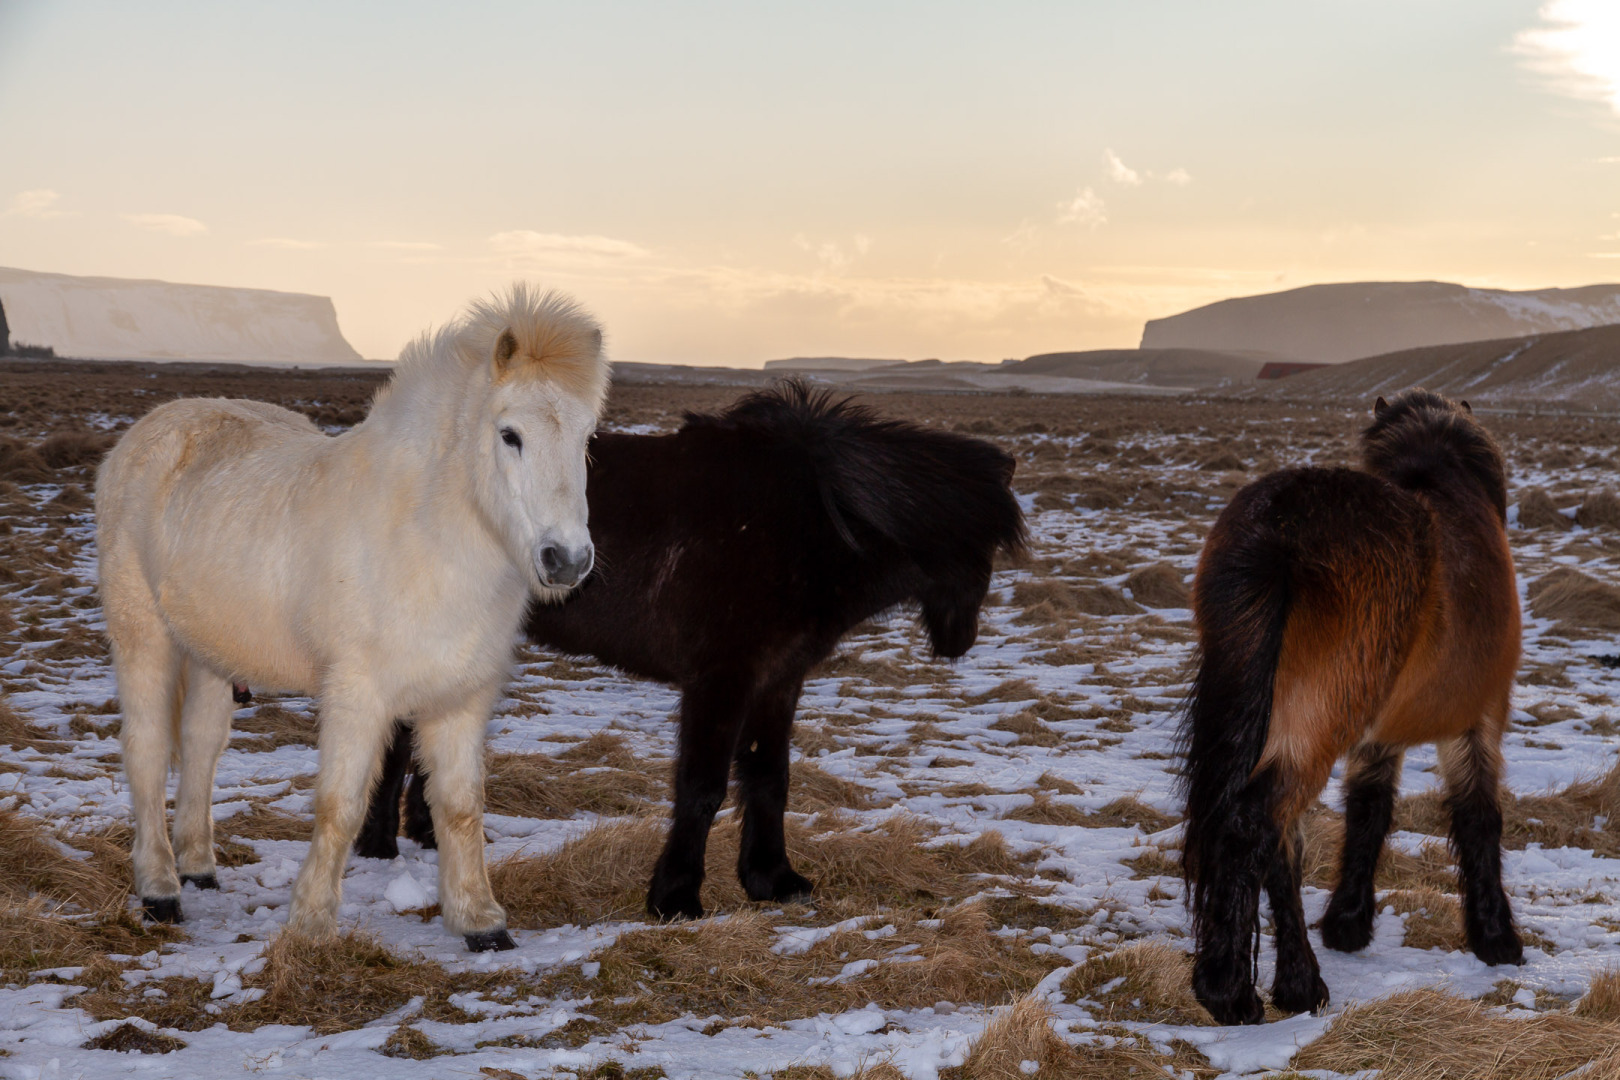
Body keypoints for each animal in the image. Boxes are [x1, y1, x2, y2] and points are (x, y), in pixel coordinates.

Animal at [94, 285, 609, 951]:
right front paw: (310, 923)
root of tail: (141, 438)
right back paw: (160, 888)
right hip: (144, 636)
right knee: (149, 749)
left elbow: (461, 807)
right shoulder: (358, 693)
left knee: (202, 747)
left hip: (211, 652)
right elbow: (339, 805)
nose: (567, 560)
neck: (423, 538)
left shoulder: (461, 698)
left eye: (587, 438)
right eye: (510, 435)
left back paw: (199, 867)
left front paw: (480, 922)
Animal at [354, 381, 1027, 920]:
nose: (959, 640)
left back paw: (422, 833)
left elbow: (769, 777)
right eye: (973, 546)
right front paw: (676, 898)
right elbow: (702, 787)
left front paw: (772, 879)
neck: (809, 520)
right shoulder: (721, 679)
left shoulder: (779, 678)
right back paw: (379, 842)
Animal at [1180, 388, 1522, 1025]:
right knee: (1254, 824)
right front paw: (1496, 937)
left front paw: (1347, 923)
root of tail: (1281, 526)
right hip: (1320, 717)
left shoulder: (1376, 737)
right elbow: (1478, 815)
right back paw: (1231, 991)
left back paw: (1297, 983)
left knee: (1279, 839)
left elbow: (1368, 811)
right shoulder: (1478, 719)